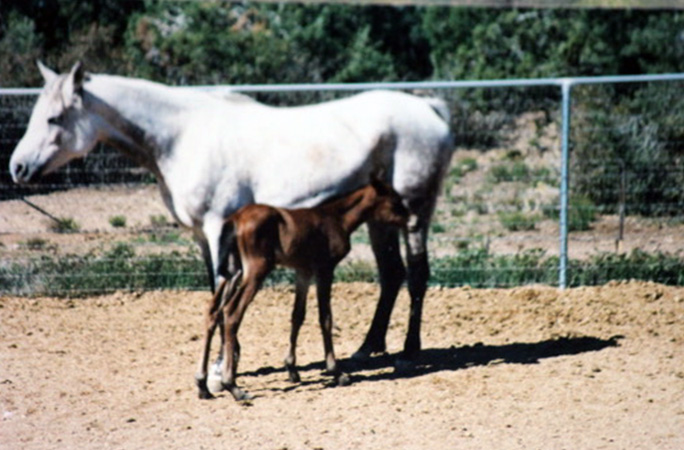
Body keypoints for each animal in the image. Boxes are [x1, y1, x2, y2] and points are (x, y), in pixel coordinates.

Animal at [9, 61, 453, 369]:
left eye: (54, 117)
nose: (18, 167)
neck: (182, 136)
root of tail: (429, 108)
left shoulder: (216, 226)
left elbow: (222, 290)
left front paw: (224, 364)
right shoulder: (202, 236)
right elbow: (219, 292)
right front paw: (228, 361)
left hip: (415, 213)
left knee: (417, 274)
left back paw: (409, 352)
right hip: (381, 219)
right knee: (392, 275)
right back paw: (367, 348)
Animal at [196, 177, 409, 400]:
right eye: (394, 201)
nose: (410, 220)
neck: (336, 218)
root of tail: (235, 219)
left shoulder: (303, 271)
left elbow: (298, 315)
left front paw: (292, 369)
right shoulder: (325, 269)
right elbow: (325, 318)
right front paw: (337, 372)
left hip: (232, 271)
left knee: (214, 312)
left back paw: (203, 385)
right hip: (255, 270)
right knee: (231, 312)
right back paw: (233, 386)